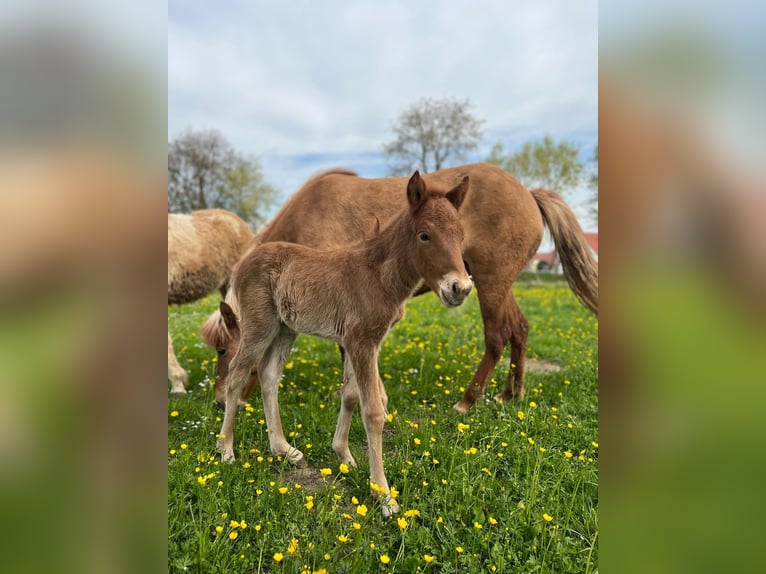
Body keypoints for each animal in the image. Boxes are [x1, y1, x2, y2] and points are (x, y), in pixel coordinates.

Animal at [202, 162, 597, 411]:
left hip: (490, 283)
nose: (221, 401)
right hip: (497, 284)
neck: (307, 215)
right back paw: (510, 394)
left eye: (222, 350)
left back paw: (468, 400)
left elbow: (347, 350)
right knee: (520, 329)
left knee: (497, 336)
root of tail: (528, 192)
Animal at [212, 172, 471, 515]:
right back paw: (226, 449)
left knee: (268, 375)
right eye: (424, 235)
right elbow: (373, 412)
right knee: (237, 375)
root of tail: (242, 263)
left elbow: (349, 395)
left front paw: (344, 456)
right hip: (259, 325)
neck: (377, 275)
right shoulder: (361, 342)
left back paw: (285, 450)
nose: (460, 288)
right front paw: (383, 495)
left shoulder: (360, 342)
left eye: (461, 235)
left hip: (285, 329)